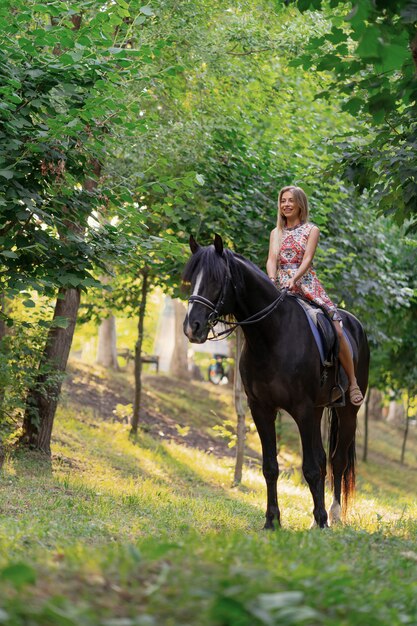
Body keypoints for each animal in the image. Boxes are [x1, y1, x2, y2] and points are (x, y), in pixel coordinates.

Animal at [181, 234, 368, 528]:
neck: (272, 335)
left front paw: (321, 520)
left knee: (336, 461)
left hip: (348, 410)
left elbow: (311, 468)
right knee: (325, 459)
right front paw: (272, 520)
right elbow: (271, 467)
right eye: (191, 278)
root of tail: (354, 324)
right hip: (318, 411)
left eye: (215, 278)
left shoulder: (302, 409)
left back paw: (334, 513)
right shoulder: (261, 408)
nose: (192, 327)